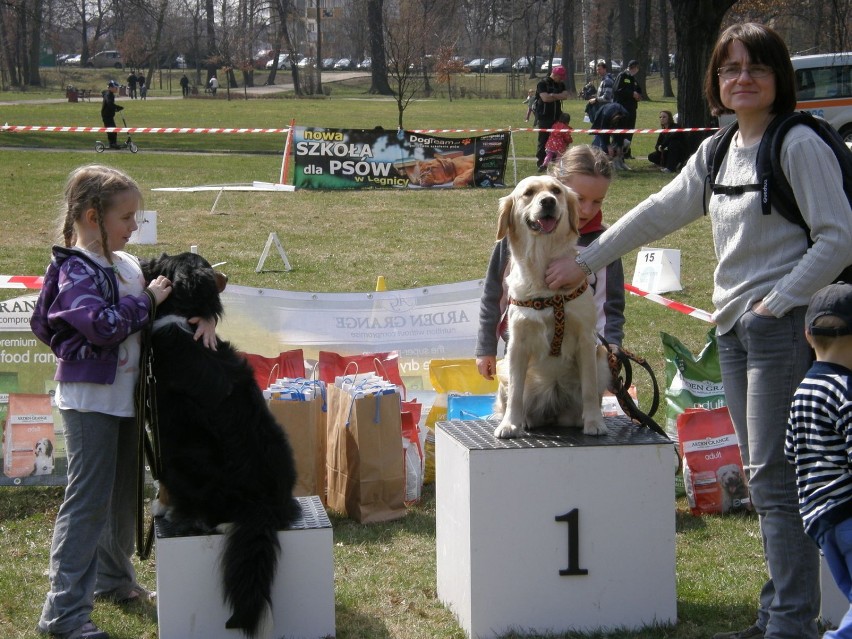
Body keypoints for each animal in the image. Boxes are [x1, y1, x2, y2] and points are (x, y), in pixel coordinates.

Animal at [141, 252, 300, 636]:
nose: (225, 277)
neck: (181, 314)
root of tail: (263, 506)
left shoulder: (166, 430)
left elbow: (162, 480)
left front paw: (159, 505)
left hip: (189, 460)